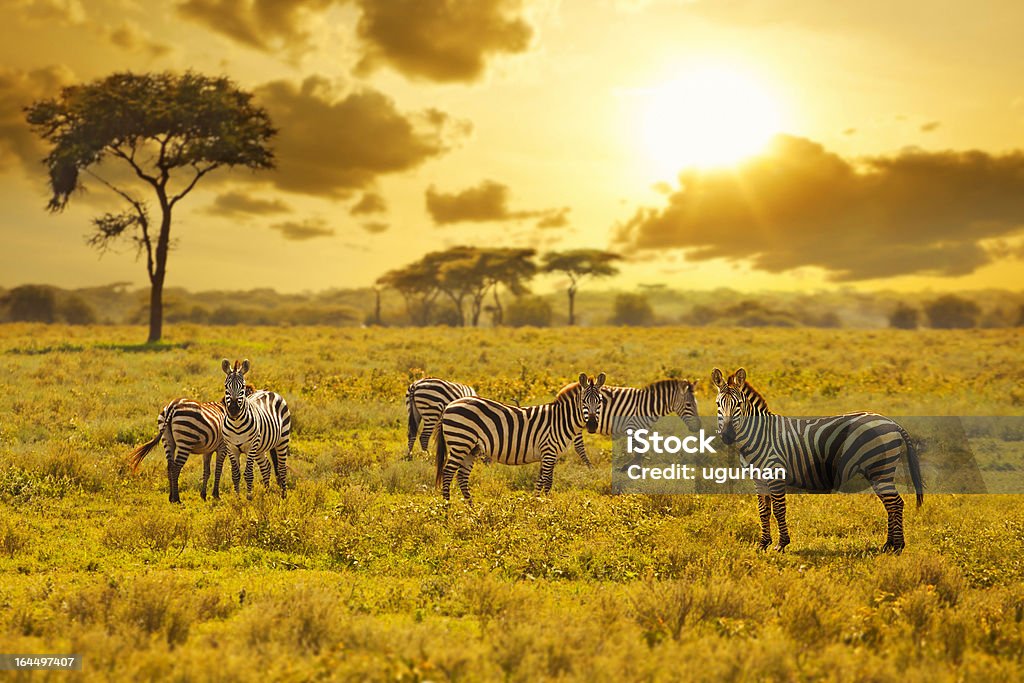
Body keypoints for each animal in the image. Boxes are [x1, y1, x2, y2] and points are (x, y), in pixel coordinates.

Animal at [221, 360, 292, 499]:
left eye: (242, 387)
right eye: (226, 386)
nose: (233, 410)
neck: (236, 423)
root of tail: (269, 391)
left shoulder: (251, 446)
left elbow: (248, 473)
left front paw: (249, 497)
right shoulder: (231, 447)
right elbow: (235, 474)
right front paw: (237, 498)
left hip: (282, 440)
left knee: (281, 468)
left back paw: (284, 495)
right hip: (260, 448)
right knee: (266, 467)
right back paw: (266, 492)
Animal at [434, 370, 606, 505]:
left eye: (600, 401)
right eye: (583, 401)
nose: (592, 425)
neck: (560, 420)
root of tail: (450, 405)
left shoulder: (548, 455)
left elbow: (541, 481)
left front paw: (537, 503)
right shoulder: (549, 451)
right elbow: (547, 482)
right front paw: (545, 506)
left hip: (471, 448)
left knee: (462, 477)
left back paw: (471, 509)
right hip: (460, 442)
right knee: (448, 473)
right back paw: (447, 507)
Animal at [712, 368, 921, 557]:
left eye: (739, 404)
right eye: (718, 404)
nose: (727, 436)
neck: (760, 435)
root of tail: (892, 423)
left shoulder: (776, 474)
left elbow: (779, 510)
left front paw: (781, 544)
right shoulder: (758, 479)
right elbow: (763, 511)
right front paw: (763, 544)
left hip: (880, 470)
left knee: (895, 504)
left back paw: (898, 547)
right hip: (878, 472)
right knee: (891, 505)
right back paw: (888, 545)